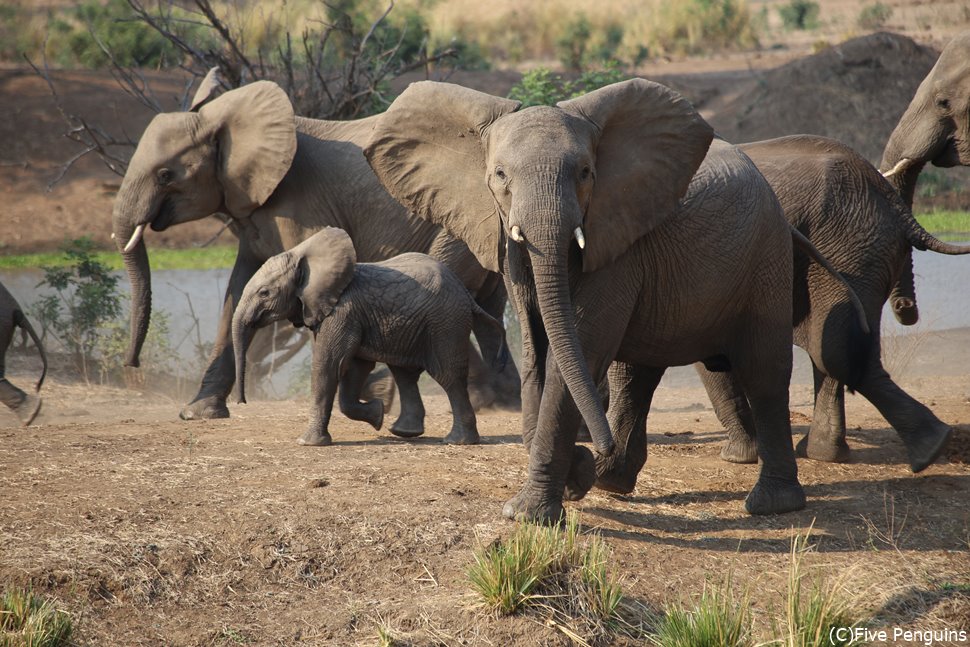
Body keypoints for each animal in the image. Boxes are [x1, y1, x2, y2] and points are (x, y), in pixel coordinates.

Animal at [112, 77, 520, 420]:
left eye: (165, 175)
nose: (131, 364)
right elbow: (237, 291)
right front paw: (198, 413)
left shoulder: (299, 207)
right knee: (488, 304)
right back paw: (504, 396)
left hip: (460, 226)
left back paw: (468, 397)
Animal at [233, 227, 506, 446]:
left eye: (264, 293)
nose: (241, 402)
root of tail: (464, 292)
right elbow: (354, 368)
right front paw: (377, 414)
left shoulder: (343, 311)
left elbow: (328, 365)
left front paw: (307, 443)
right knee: (405, 374)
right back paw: (404, 432)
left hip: (445, 323)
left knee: (448, 376)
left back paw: (457, 441)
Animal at [364, 79, 808, 528]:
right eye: (500, 175)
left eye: (585, 173)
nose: (596, 446)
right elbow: (538, 351)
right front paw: (575, 477)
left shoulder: (615, 247)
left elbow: (575, 352)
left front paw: (530, 513)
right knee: (636, 375)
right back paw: (612, 479)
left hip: (766, 256)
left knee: (764, 370)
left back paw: (771, 504)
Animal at [692, 134, 964, 474]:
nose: (904, 307)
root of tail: (893, 203)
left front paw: (738, 457)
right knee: (839, 349)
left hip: (849, 249)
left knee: (834, 351)